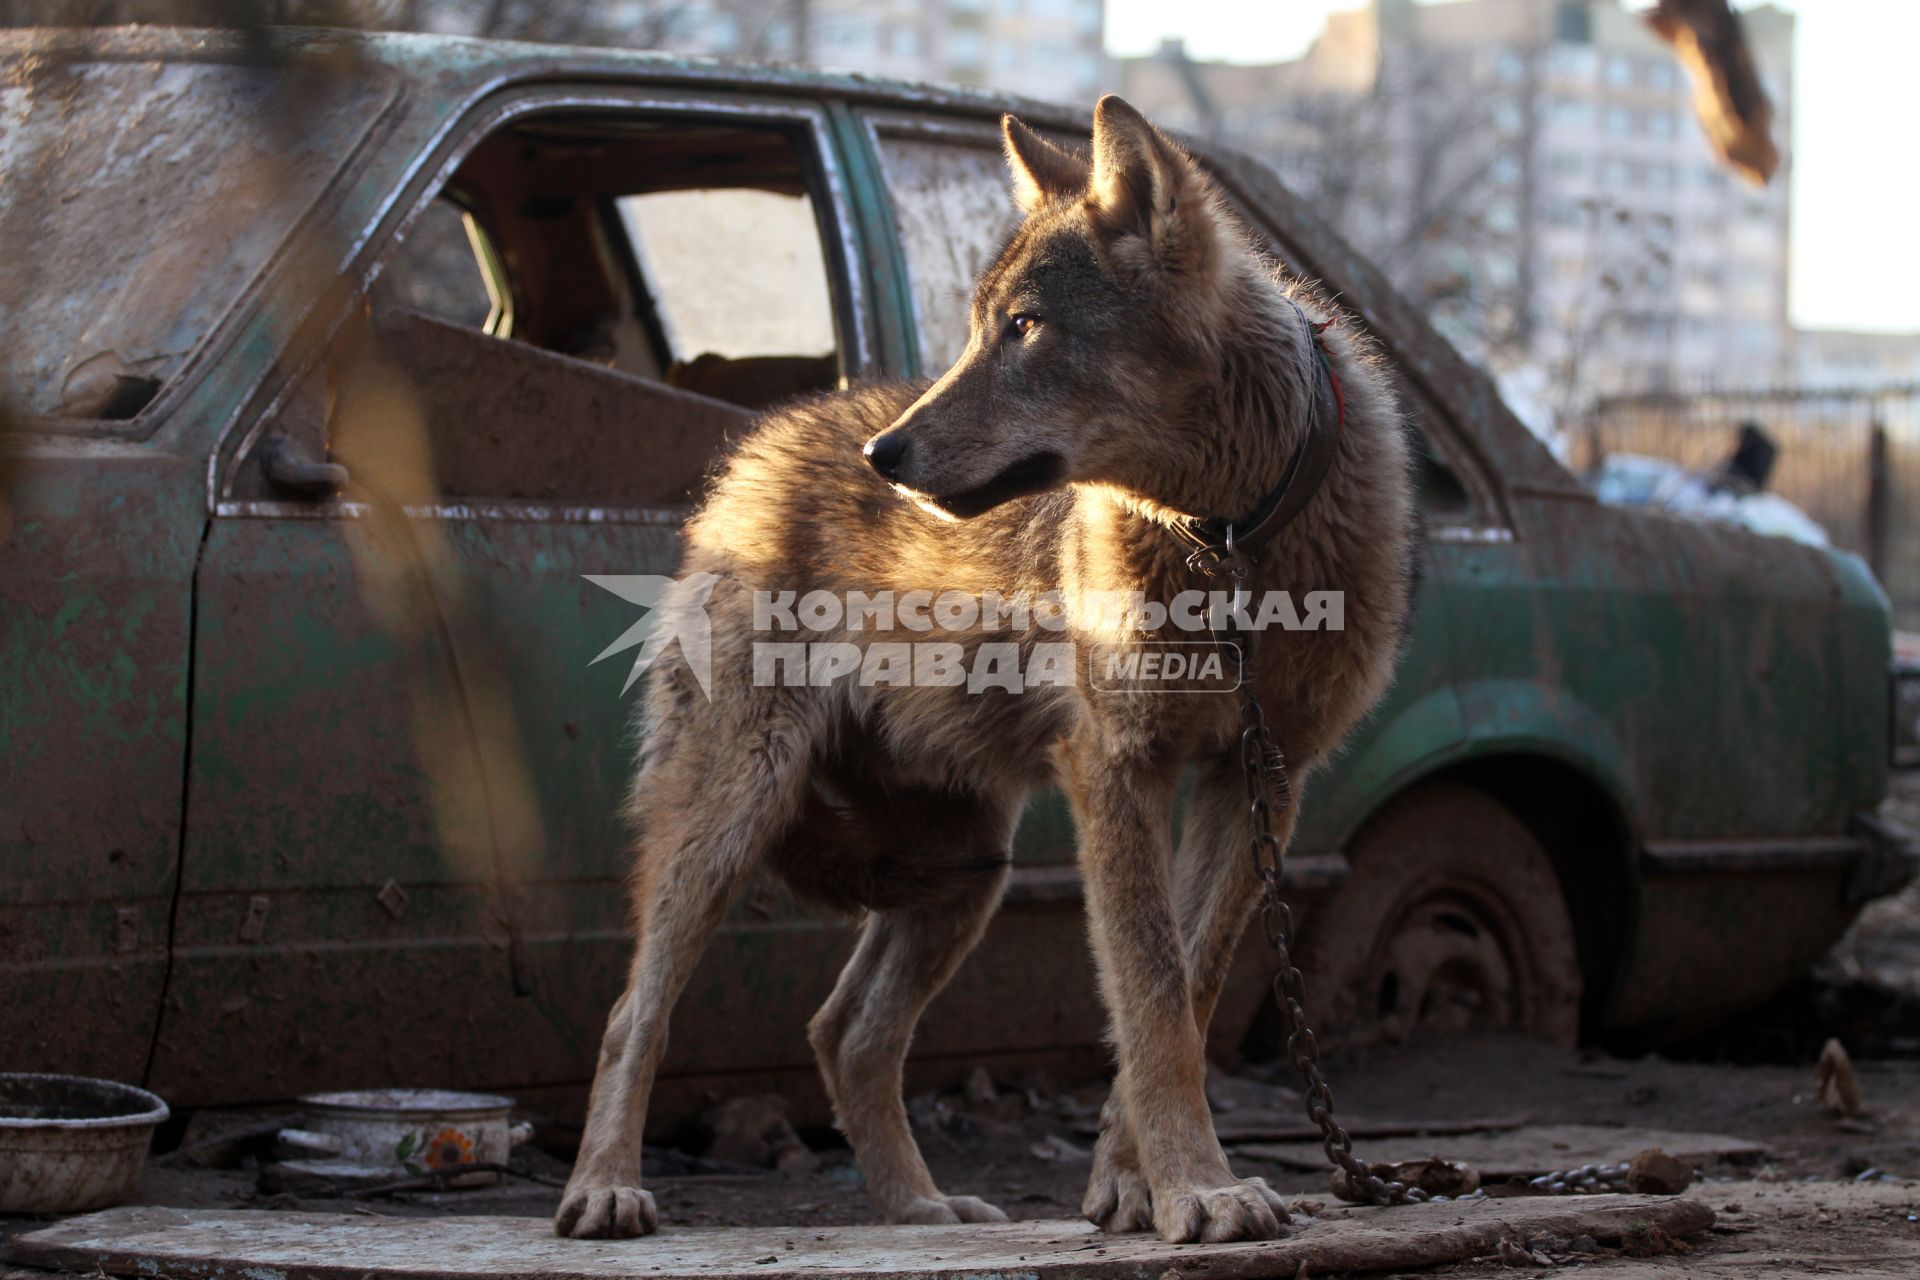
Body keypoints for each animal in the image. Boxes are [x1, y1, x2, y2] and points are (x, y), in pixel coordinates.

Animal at [556, 97, 1413, 1243]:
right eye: (976, 326)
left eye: (1025, 327)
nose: (884, 457)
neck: (1229, 540)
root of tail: (755, 449)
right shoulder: (1119, 770)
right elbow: (1151, 1002)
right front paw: (1199, 1189)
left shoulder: (1259, 782)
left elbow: (1183, 997)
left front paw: (1137, 1189)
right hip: (735, 816)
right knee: (630, 1012)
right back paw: (605, 1188)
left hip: (968, 869)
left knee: (843, 1029)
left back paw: (918, 1208)